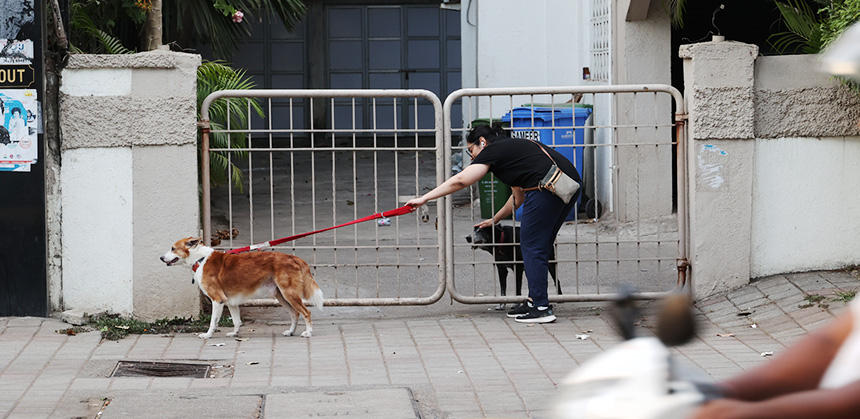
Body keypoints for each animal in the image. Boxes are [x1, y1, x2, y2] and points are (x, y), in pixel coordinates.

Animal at [160, 238, 324, 340]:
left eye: (173, 248)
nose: (161, 258)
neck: (200, 259)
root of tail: (295, 258)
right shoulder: (230, 301)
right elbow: (236, 321)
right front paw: (234, 333)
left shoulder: (217, 300)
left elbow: (213, 322)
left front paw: (207, 335)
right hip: (281, 296)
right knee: (295, 313)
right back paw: (290, 332)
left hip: (289, 294)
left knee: (306, 312)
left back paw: (308, 333)